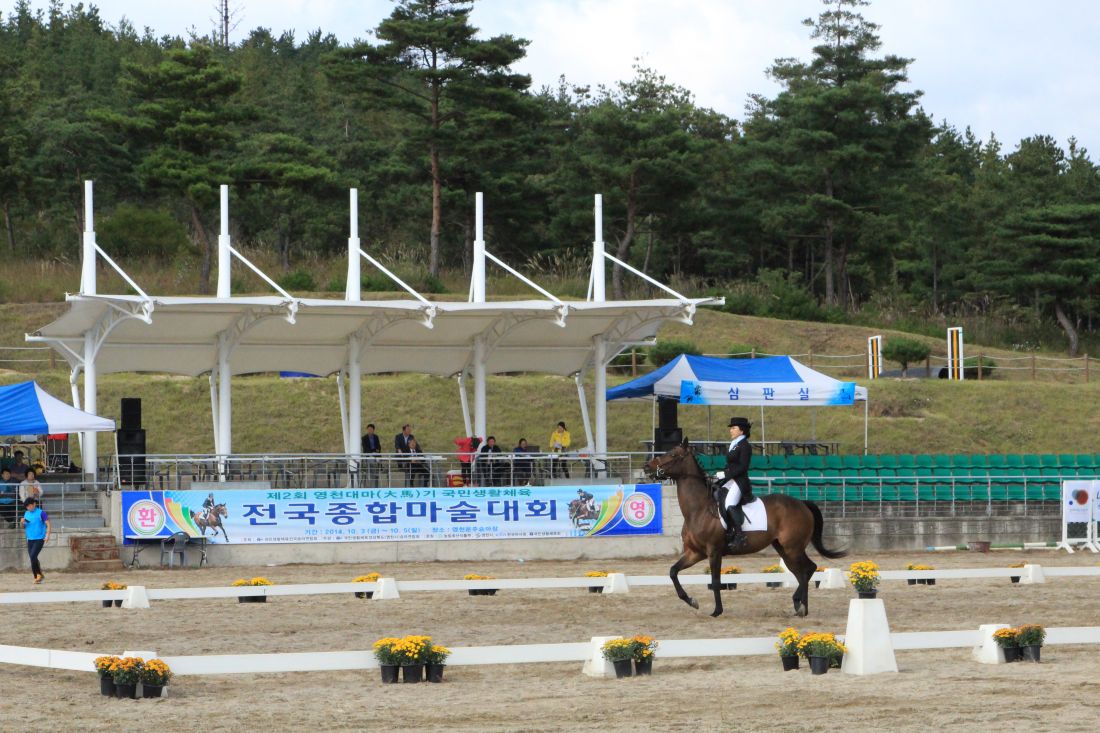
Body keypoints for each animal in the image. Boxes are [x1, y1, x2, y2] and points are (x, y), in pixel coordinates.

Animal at [644, 439, 846, 618]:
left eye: (673, 454)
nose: (647, 467)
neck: (699, 509)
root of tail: (802, 503)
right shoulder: (695, 552)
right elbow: (673, 571)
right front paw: (692, 601)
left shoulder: (714, 551)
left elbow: (715, 581)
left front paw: (717, 611)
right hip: (784, 548)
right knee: (800, 573)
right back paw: (800, 608)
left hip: (793, 547)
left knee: (808, 569)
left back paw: (800, 605)